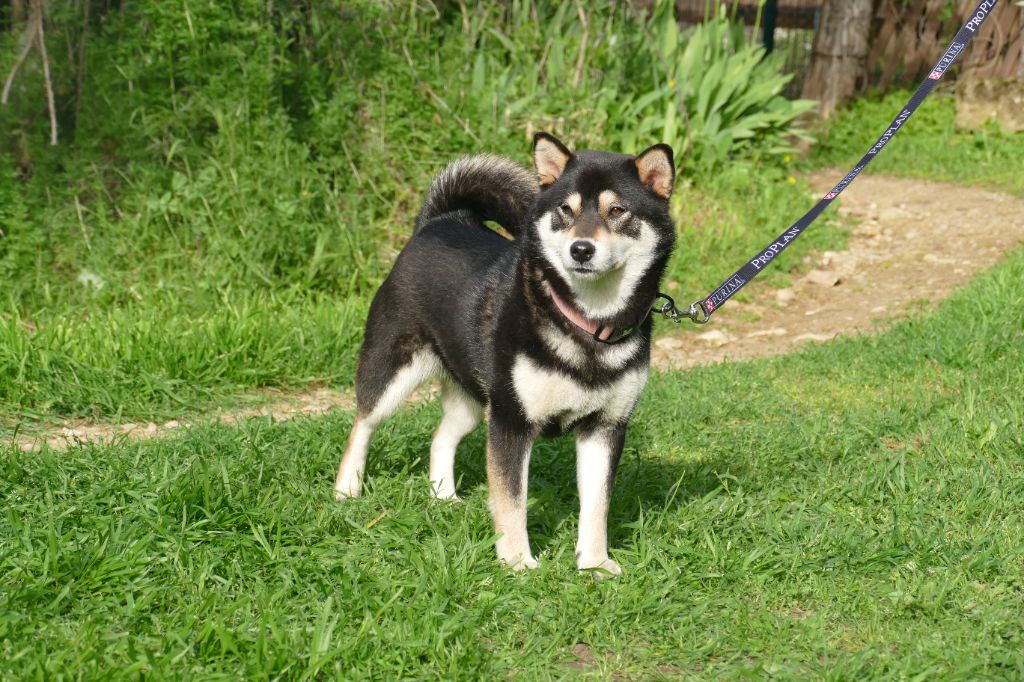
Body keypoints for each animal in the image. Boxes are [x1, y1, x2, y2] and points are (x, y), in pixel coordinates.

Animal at [331, 134, 675, 573]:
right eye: (566, 210)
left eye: (616, 211)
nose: (581, 249)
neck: (587, 323)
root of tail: (438, 221)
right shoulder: (512, 422)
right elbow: (512, 502)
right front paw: (517, 562)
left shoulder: (605, 427)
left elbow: (597, 506)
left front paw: (595, 564)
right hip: (394, 374)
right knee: (362, 424)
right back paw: (347, 489)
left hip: (476, 399)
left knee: (440, 438)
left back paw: (444, 497)